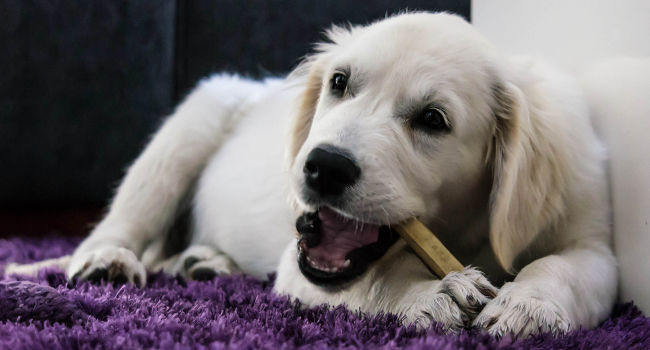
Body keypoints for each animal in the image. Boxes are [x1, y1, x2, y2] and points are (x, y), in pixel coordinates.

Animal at [7, 13, 612, 336]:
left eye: (433, 120)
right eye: (339, 82)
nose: (323, 165)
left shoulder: (593, 243)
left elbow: (563, 266)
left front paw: (528, 305)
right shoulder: (297, 271)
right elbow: (378, 279)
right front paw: (430, 293)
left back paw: (205, 263)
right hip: (189, 126)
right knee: (122, 224)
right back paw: (107, 262)